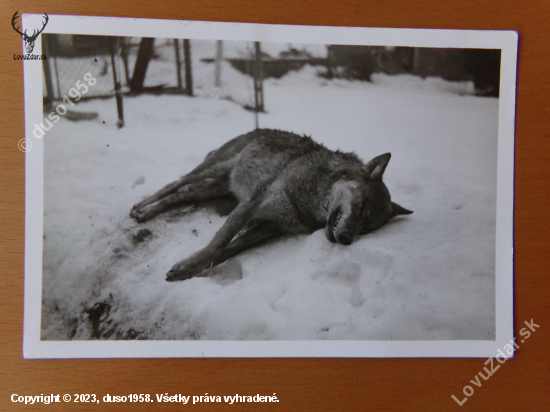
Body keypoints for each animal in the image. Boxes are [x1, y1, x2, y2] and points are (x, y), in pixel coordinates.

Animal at [132, 130, 412, 282]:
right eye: (362, 206)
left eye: (368, 228)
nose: (346, 239)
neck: (308, 198)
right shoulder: (251, 206)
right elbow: (218, 243)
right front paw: (187, 266)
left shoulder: (270, 227)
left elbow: (227, 251)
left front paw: (189, 271)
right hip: (213, 169)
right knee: (175, 183)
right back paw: (141, 209)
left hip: (216, 189)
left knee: (180, 197)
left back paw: (148, 212)